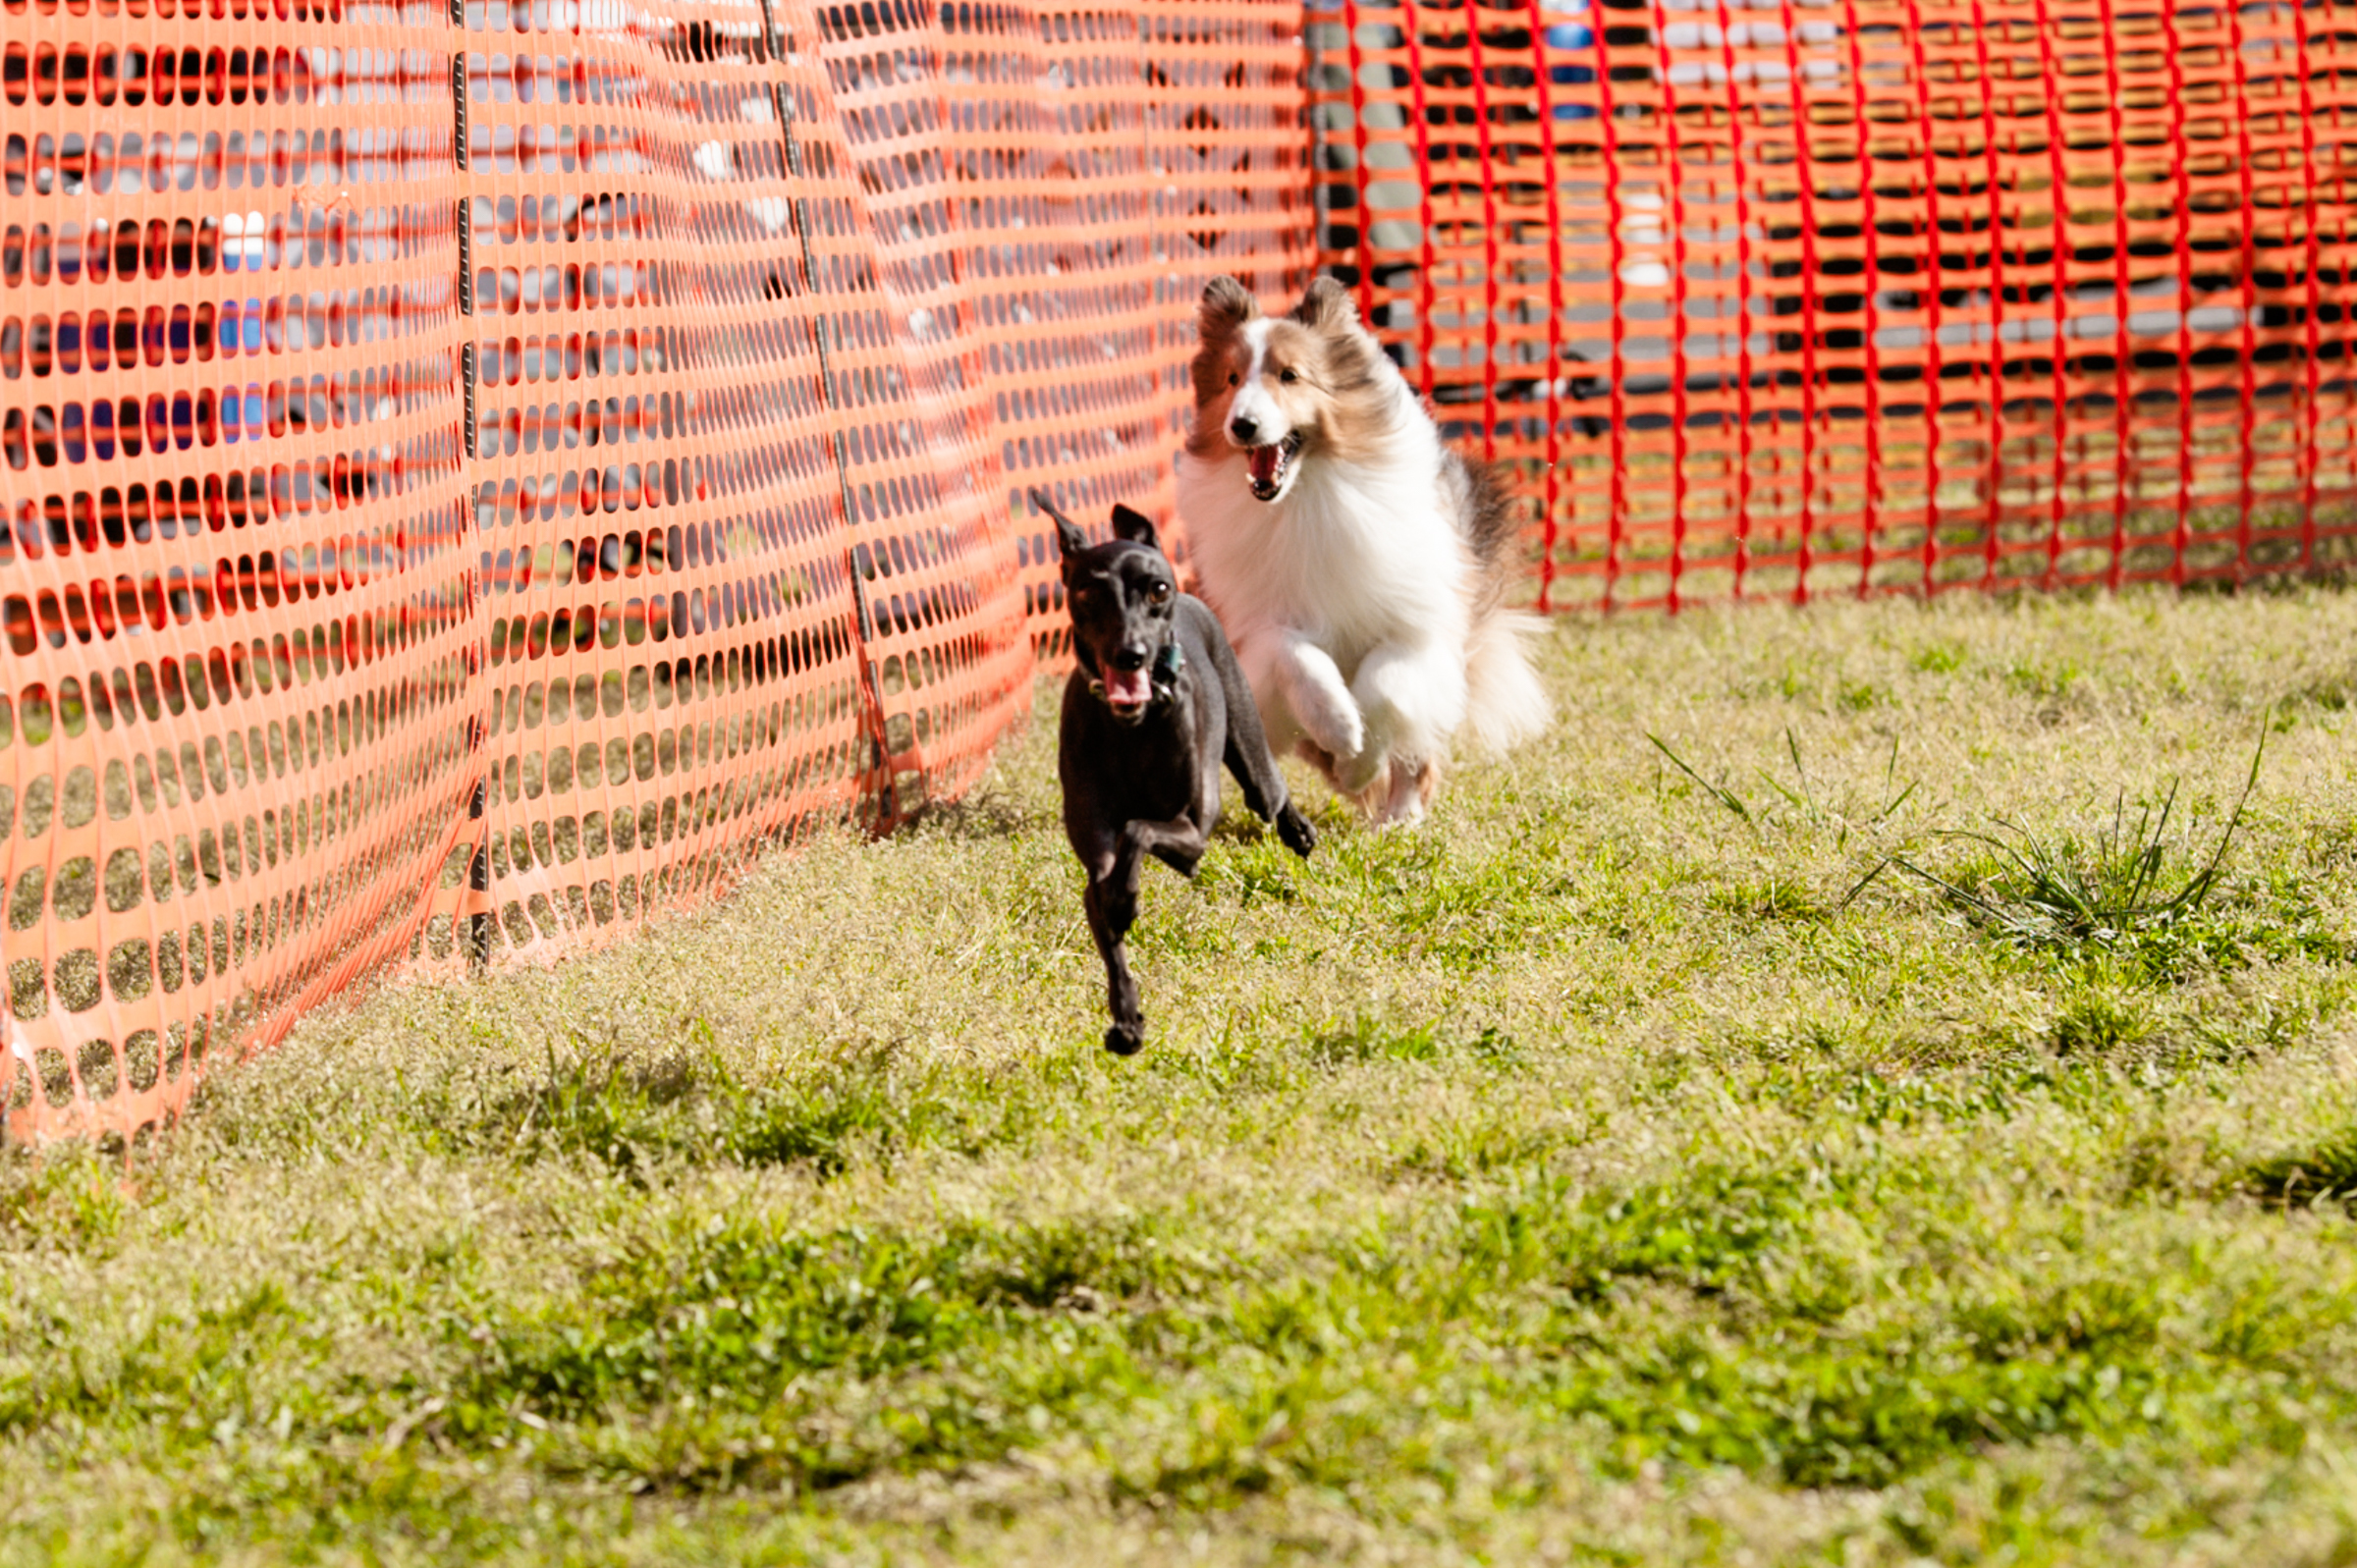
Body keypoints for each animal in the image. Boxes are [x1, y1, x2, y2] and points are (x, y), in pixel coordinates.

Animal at [1036, 489, 1315, 1056]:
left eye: (1156, 589)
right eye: (1088, 592)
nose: (1131, 653)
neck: (1134, 727)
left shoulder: (1192, 829)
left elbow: (1140, 830)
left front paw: (1127, 898)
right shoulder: (1095, 852)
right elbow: (1107, 905)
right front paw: (1126, 1021)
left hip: (1248, 747)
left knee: (1270, 791)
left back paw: (1300, 831)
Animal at [1173, 275, 1552, 827]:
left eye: (1290, 376)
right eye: (1231, 378)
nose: (1242, 425)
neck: (1305, 495)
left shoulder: (1418, 623)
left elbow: (1386, 686)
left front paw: (1360, 758)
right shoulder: (1256, 625)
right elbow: (1298, 657)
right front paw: (1341, 730)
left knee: (1415, 753)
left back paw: (1398, 817)